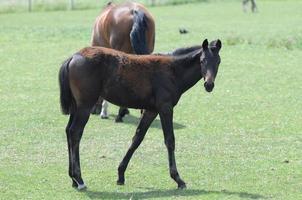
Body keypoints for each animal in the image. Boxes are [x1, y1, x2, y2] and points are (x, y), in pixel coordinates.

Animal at [59, 38, 222, 190]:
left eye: (218, 62)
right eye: (202, 60)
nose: (209, 84)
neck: (173, 71)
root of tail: (73, 57)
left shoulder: (151, 110)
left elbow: (137, 138)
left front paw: (121, 174)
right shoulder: (165, 108)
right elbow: (170, 140)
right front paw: (178, 179)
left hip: (76, 107)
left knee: (68, 131)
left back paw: (72, 179)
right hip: (85, 106)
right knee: (75, 132)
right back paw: (79, 179)